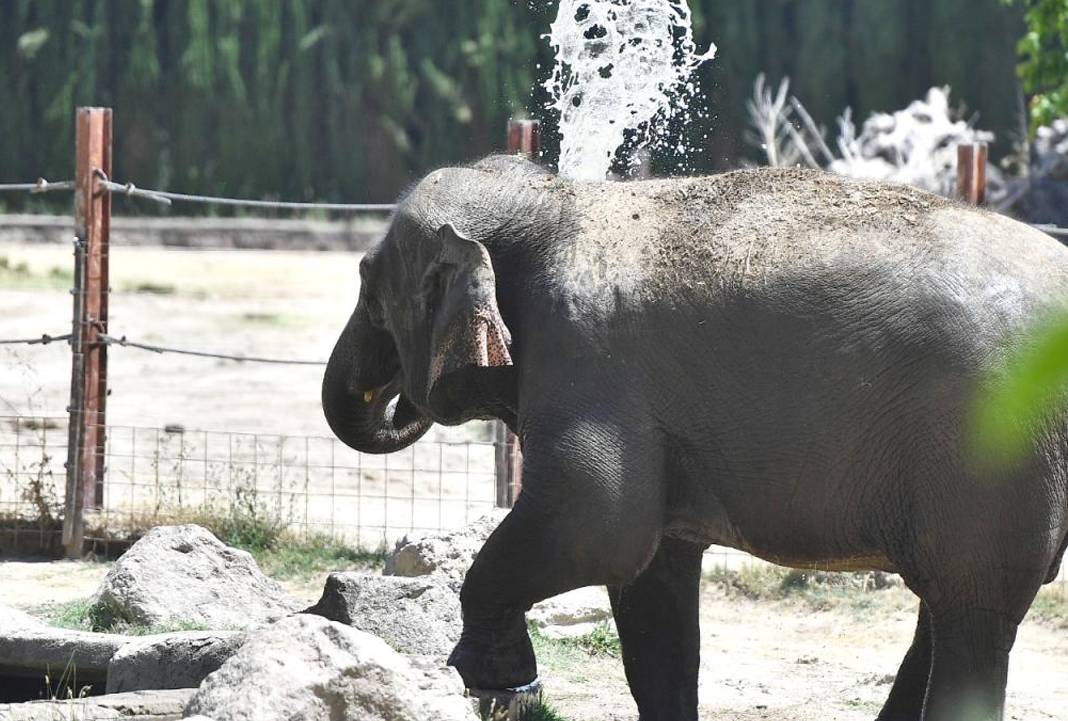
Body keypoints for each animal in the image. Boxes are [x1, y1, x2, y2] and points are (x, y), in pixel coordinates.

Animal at [322, 158, 1068, 721]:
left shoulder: (591, 363)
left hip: (992, 452)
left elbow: (598, 523)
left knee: (973, 611)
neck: (551, 200)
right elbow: (651, 579)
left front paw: (491, 682)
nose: (398, 394)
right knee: (946, 611)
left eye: (369, 293)